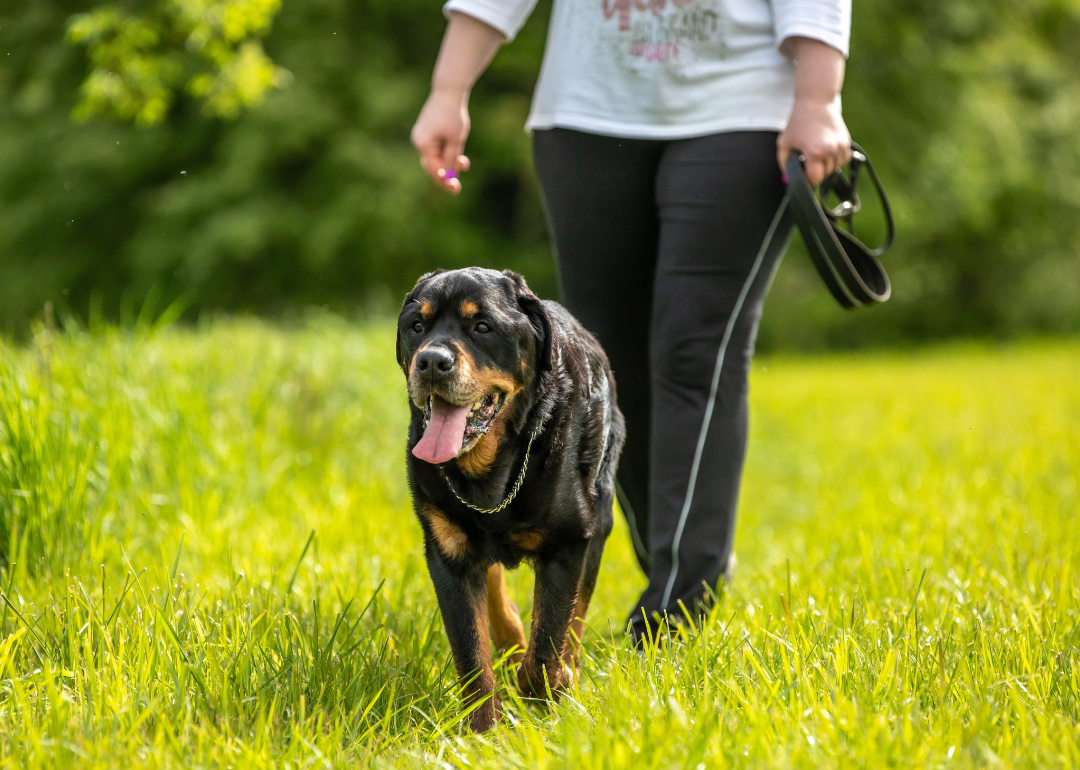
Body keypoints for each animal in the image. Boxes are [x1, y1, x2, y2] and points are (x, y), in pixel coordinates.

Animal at [397, 267, 626, 730]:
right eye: (417, 327)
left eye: (483, 327)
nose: (431, 361)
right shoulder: (447, 551)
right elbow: (470, 651)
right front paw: (482, 730)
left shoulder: (570, 542)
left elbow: (551, 639)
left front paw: (547, 693)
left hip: (600, 515)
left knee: (575, 617)